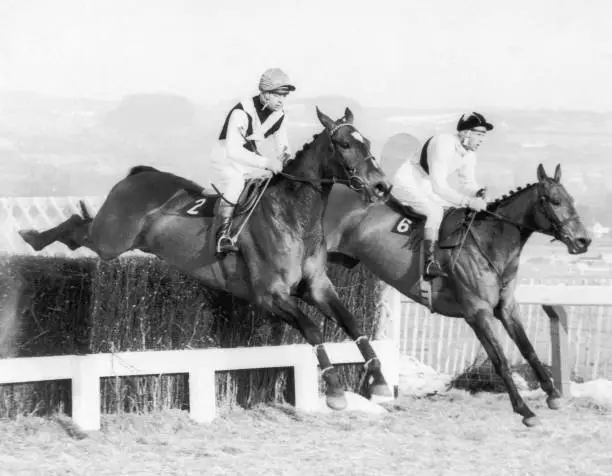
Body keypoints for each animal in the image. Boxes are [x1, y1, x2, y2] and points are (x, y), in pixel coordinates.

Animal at [20, 107, 392, 410]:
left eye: (368, 142)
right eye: (344, 144)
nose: (382, 186)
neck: (293, 217)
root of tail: (138, 175)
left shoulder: (316, 287)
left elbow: (352, 322)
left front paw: (381, 382)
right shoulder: (269, 295)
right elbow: (312, 328)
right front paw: (335, 391)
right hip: (110, 241)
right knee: (77, 227)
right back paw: (33, 237)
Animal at [326, 162, 592, 426]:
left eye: (571, 199)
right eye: (554, 201)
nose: (584, 240)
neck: (489, 243)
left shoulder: (506, 307)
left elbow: (528, 350)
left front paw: (553, 394)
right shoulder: (478, 313)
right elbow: (501, 361)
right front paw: (524, 409)